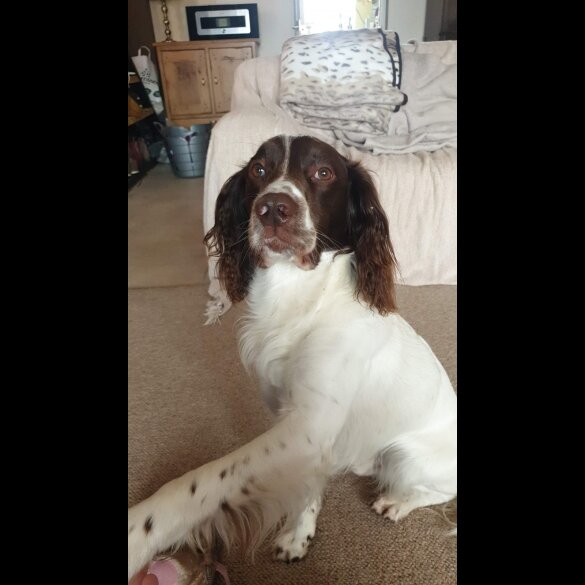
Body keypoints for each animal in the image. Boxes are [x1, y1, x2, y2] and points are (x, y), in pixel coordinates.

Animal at [128, 136, 456, 580]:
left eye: (323, 172)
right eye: (259, 170)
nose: (272, 208)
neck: (298, 298)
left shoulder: (308, 424)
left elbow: (204, 481)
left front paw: (141, 530)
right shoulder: (300, 427)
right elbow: (307, 485)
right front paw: (300, 536)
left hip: (405, 458)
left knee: (436, 492)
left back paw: (397, 502)